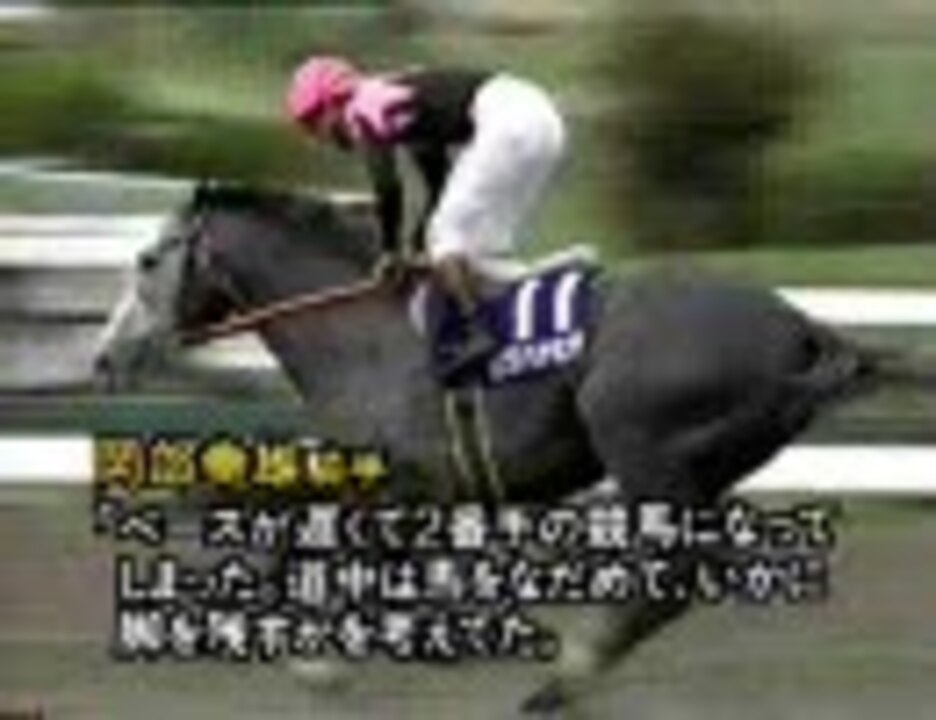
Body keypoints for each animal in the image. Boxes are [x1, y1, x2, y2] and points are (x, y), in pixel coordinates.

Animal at [93, 181, 935, 716]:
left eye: (146, 260)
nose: (103, 358)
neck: (364, 338)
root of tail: (803, 328)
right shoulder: (399, 489)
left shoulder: (407, 485)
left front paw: (317, 661)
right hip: (705, 467)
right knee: (689, 576)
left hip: (643, 448)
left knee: (678, 575)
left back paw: (561, 683)